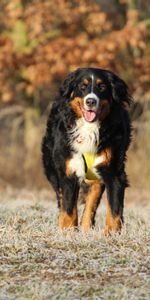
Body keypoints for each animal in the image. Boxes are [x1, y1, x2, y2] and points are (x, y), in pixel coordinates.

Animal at [41, 68, 132, 234]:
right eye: (82, 87)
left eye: (102, 87)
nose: (90, 101)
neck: (89, 128)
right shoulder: (69, 170)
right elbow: (69, 208)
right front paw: (68, 232)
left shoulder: (114, 171)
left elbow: (114, 209)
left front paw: (112, 234)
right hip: (52, 168)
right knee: (61, 198)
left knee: (92, 200)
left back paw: (85, 227)